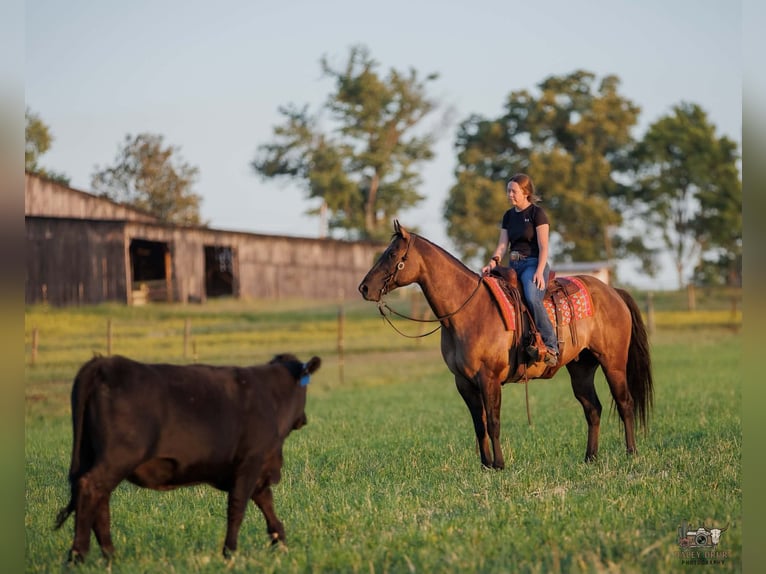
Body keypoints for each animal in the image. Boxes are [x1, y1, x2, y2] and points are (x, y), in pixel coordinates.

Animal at [358, 221, 653, 470]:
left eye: (392, 255)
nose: (364, 288)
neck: (468, 310)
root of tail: (613, 292)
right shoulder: (463, 382)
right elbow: (479, 425)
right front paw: (485, 465)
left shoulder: (488, 378)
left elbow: (494, 422)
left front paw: (499, 465)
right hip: (581, 368)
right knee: (593, 409)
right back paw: (590, 458)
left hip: (613, 363)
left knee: (625, 403)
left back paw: (631, 453)